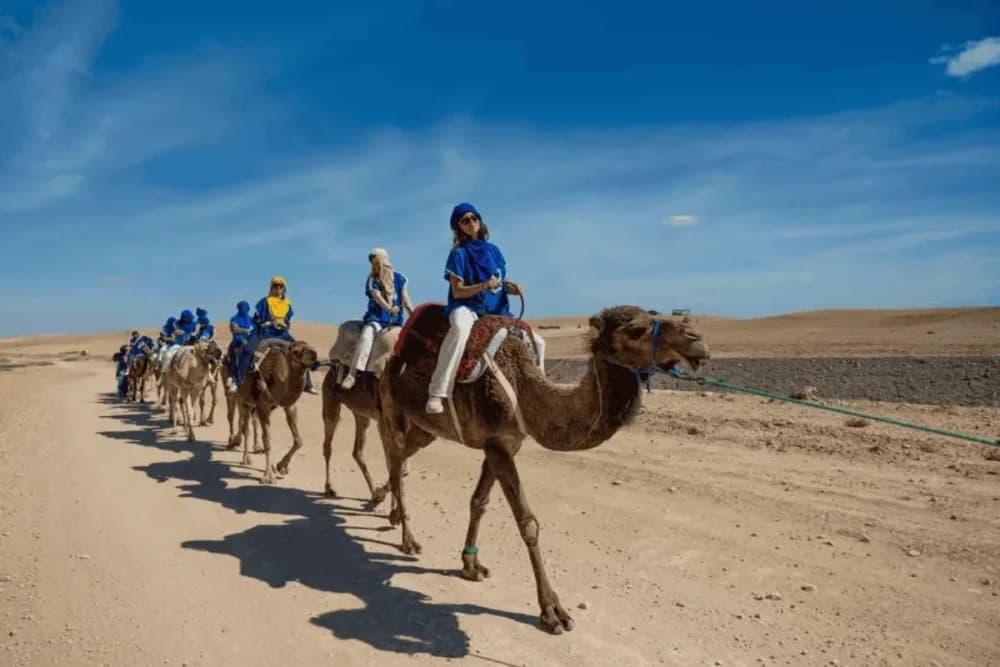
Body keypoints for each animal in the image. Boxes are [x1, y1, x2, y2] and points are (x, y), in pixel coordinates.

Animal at [227, 339, 319, 484]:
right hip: (243, 400)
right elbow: (267, 440)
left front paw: (281, 466)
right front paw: (268, 476)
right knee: (245, 428)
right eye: (296, 351)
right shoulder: (263, 406)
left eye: (310, 346)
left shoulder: (289, 406)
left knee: (251, 423)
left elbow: (298, 440)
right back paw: (246, 458)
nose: (314, 354)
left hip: (253, 405)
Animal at [374, 304, 710, 634]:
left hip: (425, 428)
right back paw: (407, 537)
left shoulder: (505, 444)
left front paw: (470, 566)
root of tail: (390, 360)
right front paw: (552, 611)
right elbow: (528, 523)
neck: (525, 391)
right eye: (636, 330)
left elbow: (479, 502)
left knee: (401, 460)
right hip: (394, 408)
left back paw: (387, 506)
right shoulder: (496, 443)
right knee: (395, 458)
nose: (697, 340)